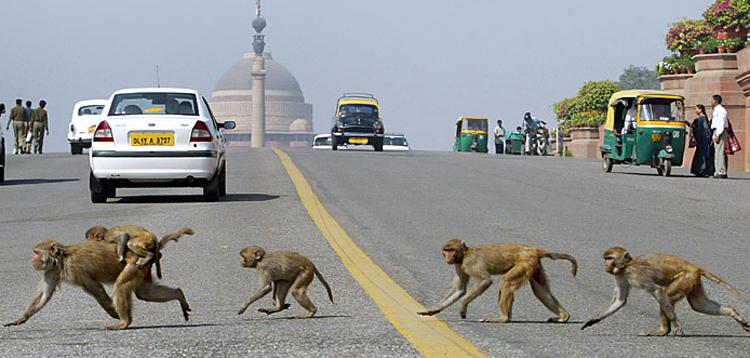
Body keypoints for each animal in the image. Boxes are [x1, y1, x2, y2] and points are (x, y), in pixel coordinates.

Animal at [414, 239, 580, 324]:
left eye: (451, 250)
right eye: (446, 250)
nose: (447, 257)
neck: (464, 254)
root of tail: (533, 249)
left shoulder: (470, 263)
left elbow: (485, 281)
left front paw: (462, 307)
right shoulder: (459, 266)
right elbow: (460, 290)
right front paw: (433, 310)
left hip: (525, 263)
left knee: (506, 282)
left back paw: (503, 318)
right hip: (534, 266)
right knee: (540, 291)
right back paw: (564, 316)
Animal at [580, 246, 750, 336]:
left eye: (609, 258)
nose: (605, 265)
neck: (625, 266)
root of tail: (694, 266)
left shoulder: (635, 275)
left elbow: (657, 292)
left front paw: (677, 324)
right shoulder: (620, 276)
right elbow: (620, 301)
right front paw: (593, 320)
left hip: (686, 278)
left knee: (666, 297)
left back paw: (663, 331)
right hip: (693, 281)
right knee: (699, 305)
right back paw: (733, 312)